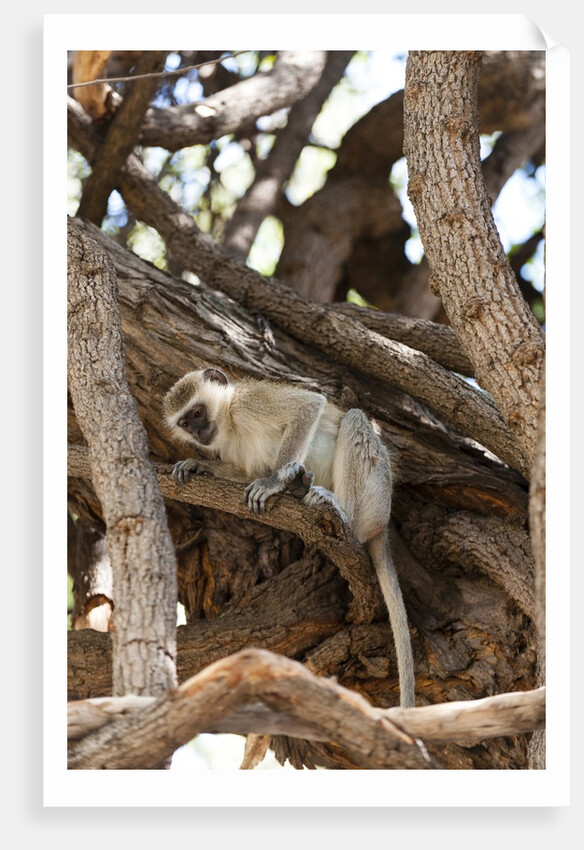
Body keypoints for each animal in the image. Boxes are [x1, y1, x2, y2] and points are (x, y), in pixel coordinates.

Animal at [163, 367, 415, 707]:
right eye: (185, 423)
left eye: (198, 412)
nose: (199, 433)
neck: (230, 424)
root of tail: (383, 523)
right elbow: (247, 473)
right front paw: (200, 465)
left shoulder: (250, 403)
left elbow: (307, 407)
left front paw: (273, 481)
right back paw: (299, 488)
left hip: (376, 495)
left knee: (355, 420)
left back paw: (339, 509)